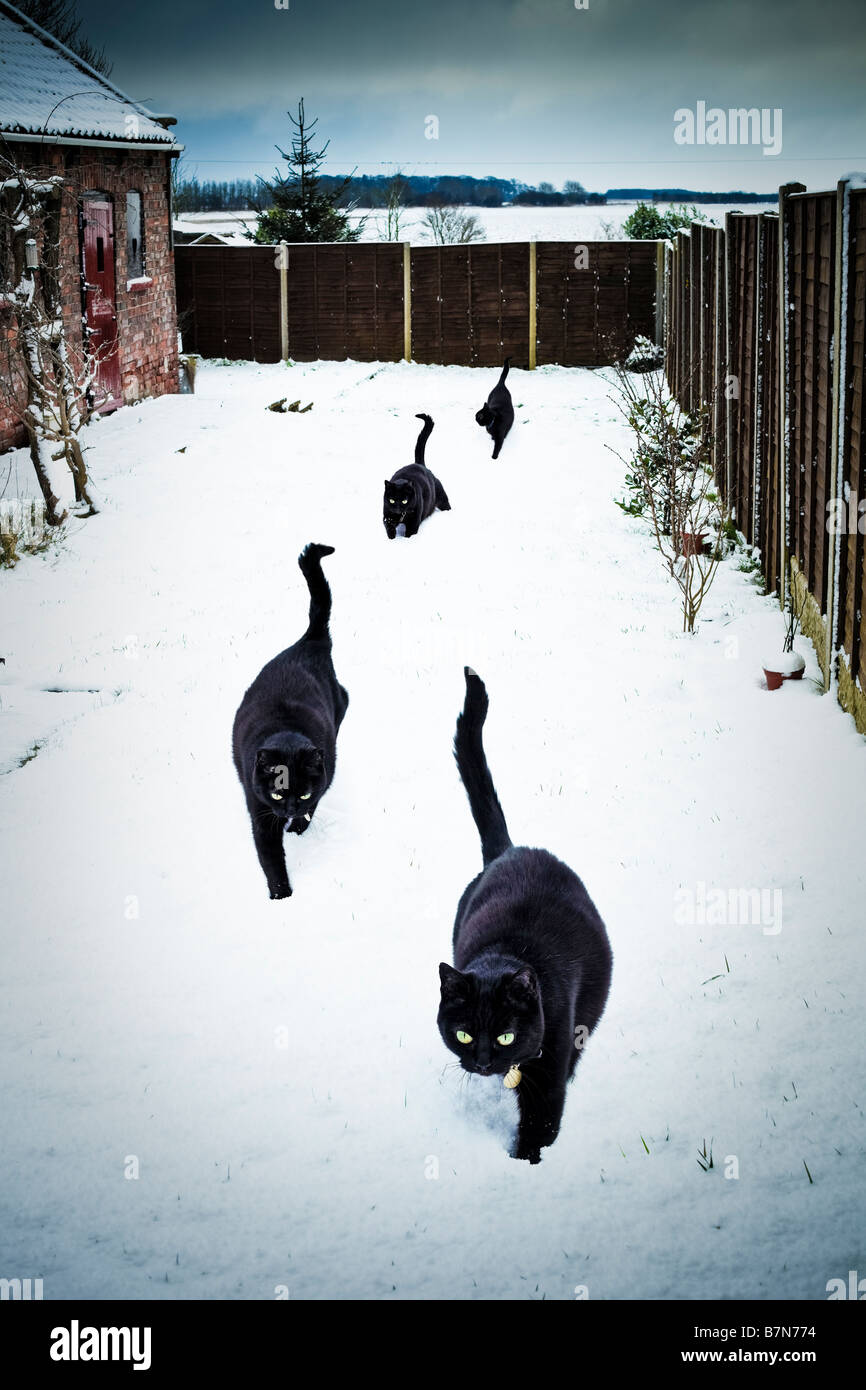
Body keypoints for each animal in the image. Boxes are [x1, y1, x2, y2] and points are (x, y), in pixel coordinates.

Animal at [234, 542, 350, 900]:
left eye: (300, 794)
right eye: (276, 794)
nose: (286, 811)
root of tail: (310, 640)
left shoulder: (323, 780)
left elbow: (313, 806)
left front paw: (299, 826)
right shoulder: (258, 811)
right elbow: (270, 857)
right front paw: (281, 897)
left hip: (338, 701)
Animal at [436, 667, 614, 1156]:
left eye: (505, 1036)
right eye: (463, 1033)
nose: (482, 1063)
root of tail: (511, 849)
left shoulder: (548, 1078)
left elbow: (540, 1127)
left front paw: (526, 1165)